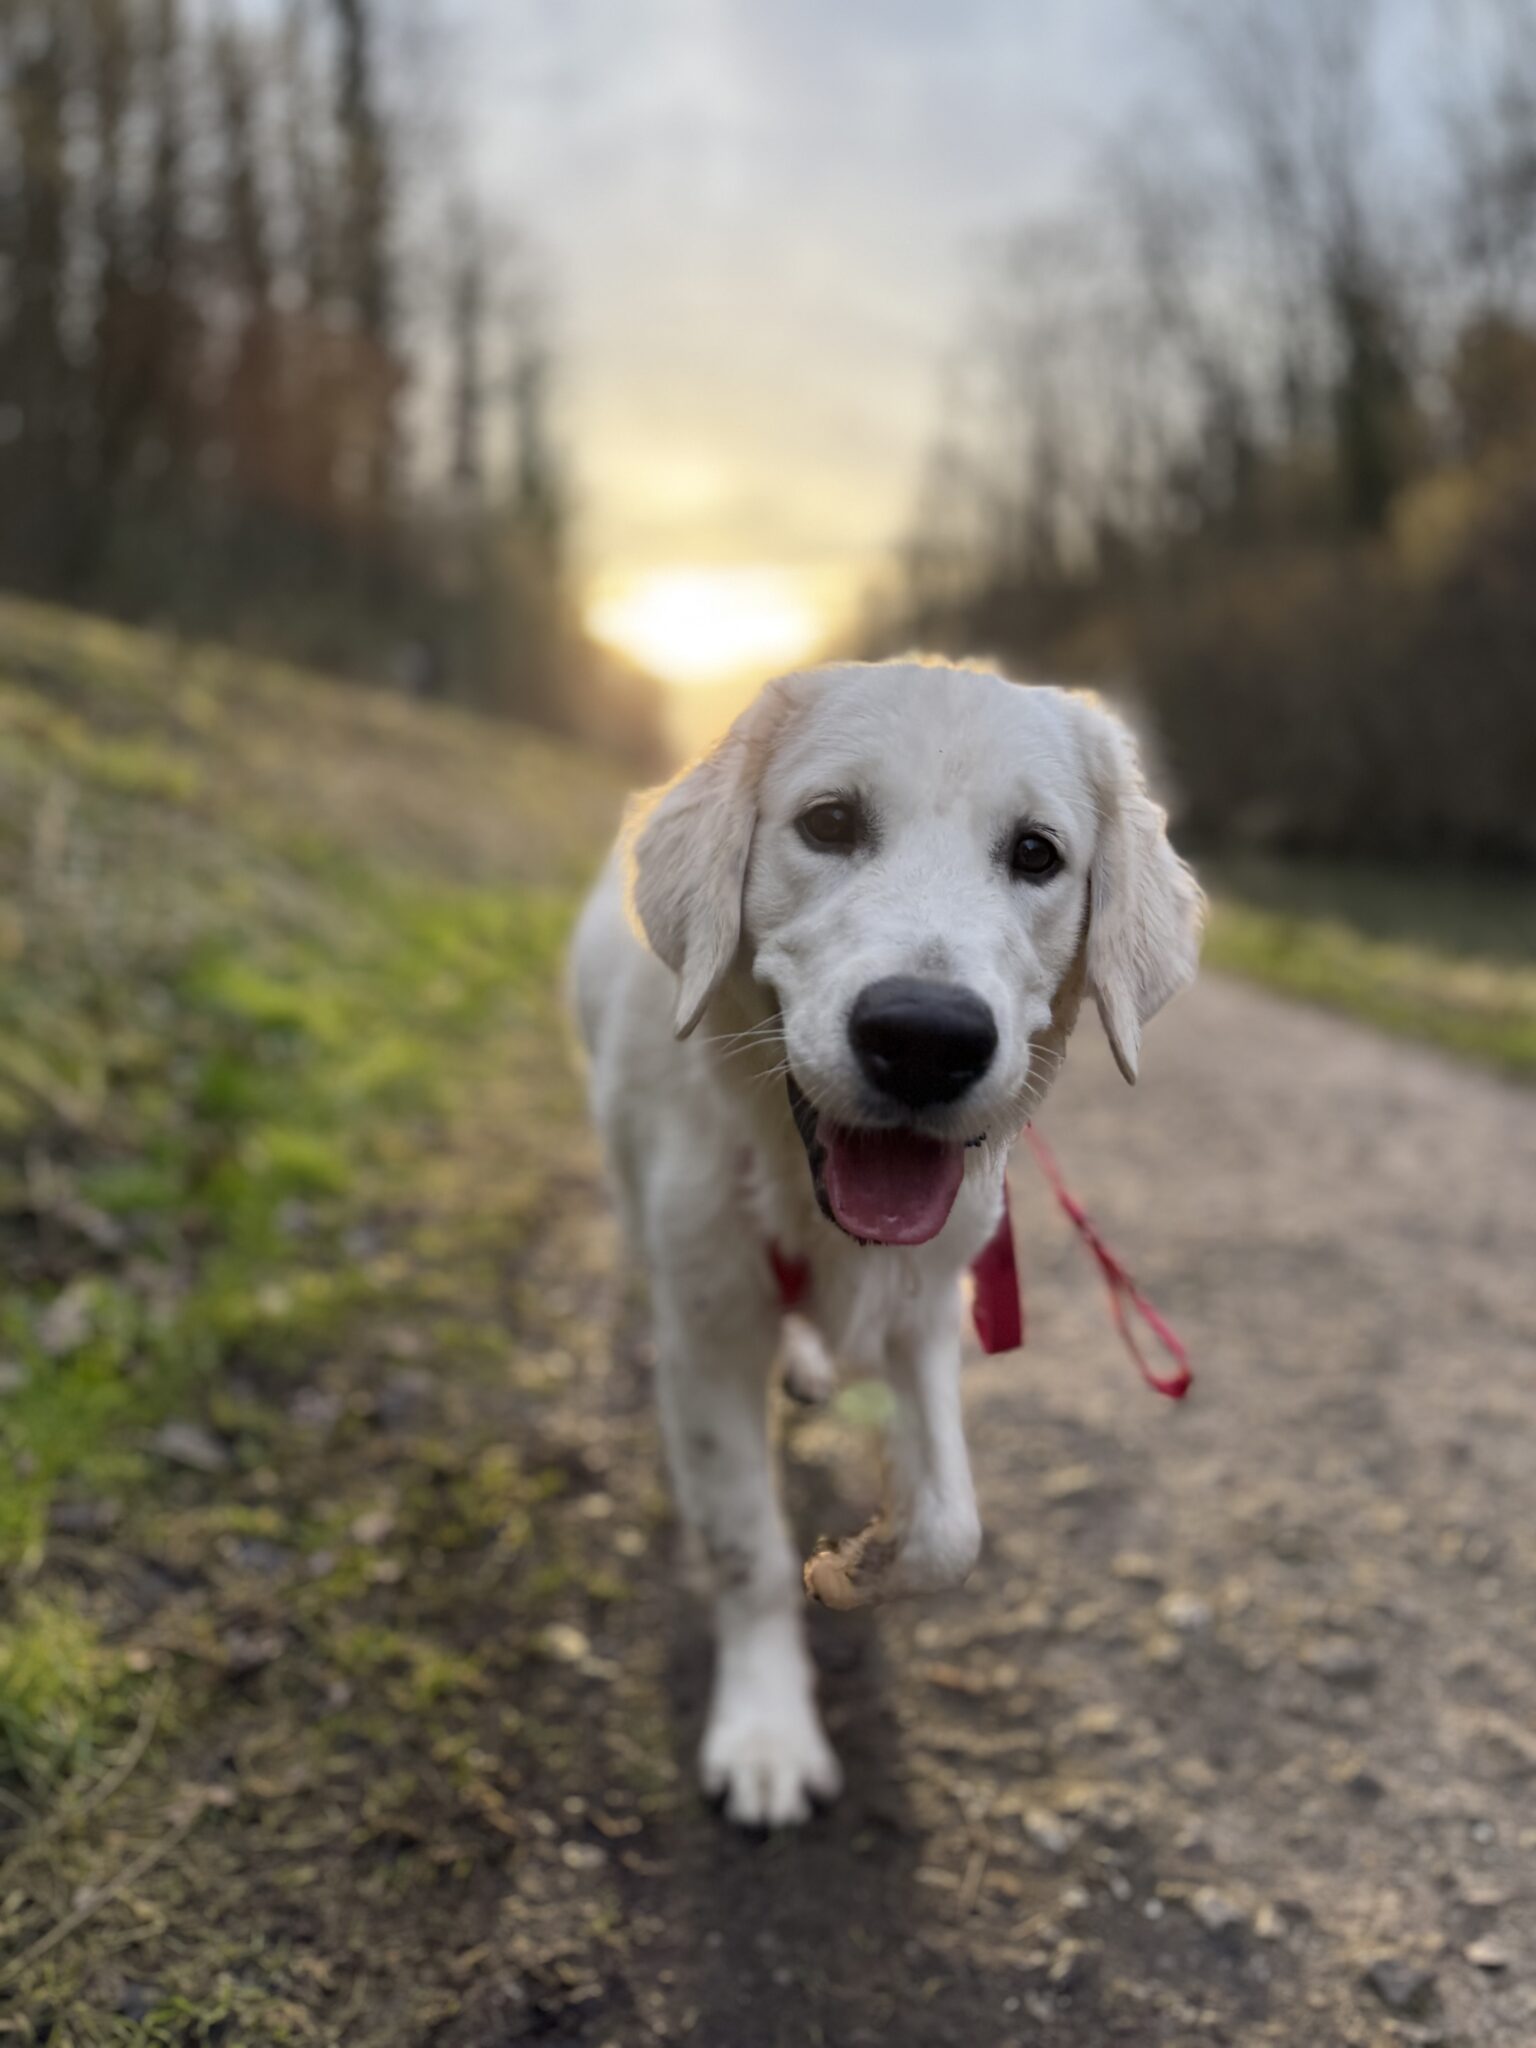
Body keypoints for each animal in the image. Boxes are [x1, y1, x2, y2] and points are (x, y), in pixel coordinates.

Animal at [573, 663, 1212, 1835]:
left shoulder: (928, 1304)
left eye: (1037, 853)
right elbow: (745, 1544)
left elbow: (952, 1525)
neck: (798, 1189)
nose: (925, 1038)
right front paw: (768, 1732)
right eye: (829, 823)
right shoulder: (708, 1334)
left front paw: (865, 1562)